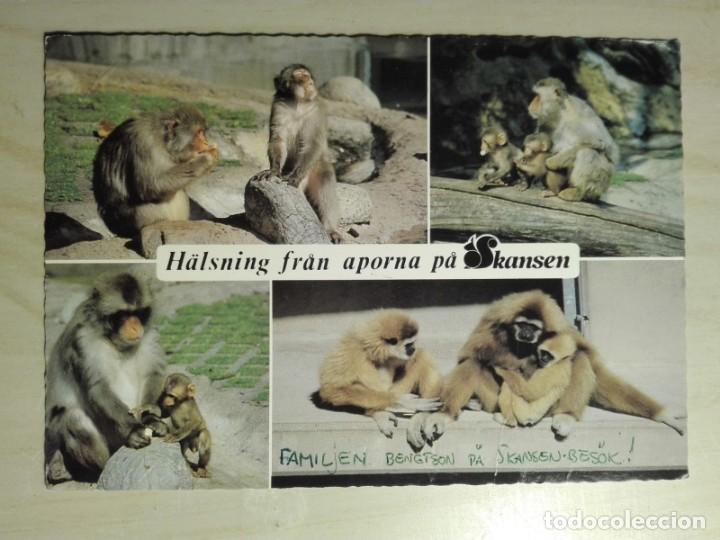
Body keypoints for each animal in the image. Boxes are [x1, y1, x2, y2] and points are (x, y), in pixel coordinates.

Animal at [45, 272, 168, 483]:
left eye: (138, 313)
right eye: (123, 315)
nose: (135, 327)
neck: (113, 341)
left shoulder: (149, 334)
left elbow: (153, 373)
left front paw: (151, 417)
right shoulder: (82, 342)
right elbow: (98, 387)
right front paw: (134, 430)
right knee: (72, 417)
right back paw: (101, 468)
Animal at [92, 106, 219, 237]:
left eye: (202, 133)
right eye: (199, 133)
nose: (205, 142)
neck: (162, 139)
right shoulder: (145, 144)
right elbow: (152, 185)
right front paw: (206, 159)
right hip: (141, 218)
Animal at [266, 64, 342, 242]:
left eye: (307, 75)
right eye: (299, 75)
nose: (308, 81)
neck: (298, 103)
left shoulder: (317, 110)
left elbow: (312, 145)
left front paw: (295, 176)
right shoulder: (279, 107)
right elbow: (278, 139)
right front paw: (274, 170)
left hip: (316, 168)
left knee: (326, 184)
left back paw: (330, 229)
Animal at [317, 310, 442, 441]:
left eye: (412, 343)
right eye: (409, 344)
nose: (413, 348)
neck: (377, 350)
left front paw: (422, 416)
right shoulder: (351, 348)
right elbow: (331, 389)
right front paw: (400, 400)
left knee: (420, 356)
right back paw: (379, 413)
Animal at [422, 289, 684, 443]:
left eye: (533, 328)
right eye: (522, 325)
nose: (527, 334)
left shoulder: (563, 329)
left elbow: (594, 367)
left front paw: (663, 415)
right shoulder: (490, 325)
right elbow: (469, 357)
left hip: (547, 408)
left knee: (579, 357)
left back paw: (566, 416)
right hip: (493, 399)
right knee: (473, 363)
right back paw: (445, 415)